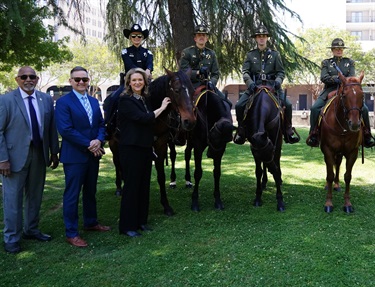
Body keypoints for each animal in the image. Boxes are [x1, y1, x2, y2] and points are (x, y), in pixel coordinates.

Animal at [104, 69, 197, 216]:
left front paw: (166, 205)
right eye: (176, 90)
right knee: (117, 162)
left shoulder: (161, 145)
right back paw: (119, 187)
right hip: (113, 143)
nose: (190, 121)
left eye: (193, 91)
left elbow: (161, 175)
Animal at [244, 84, 284, 213]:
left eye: (271, 150)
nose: (272, 168)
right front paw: (258, 197)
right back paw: (264, 182)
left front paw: (280, 200)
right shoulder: (255, 150)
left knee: (277, 160)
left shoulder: (276, 143)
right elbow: (258, 171)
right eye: (257, 154)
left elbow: (276, 165)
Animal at [318, 70, 366, 214]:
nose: (354, 124)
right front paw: (328, 203)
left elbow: (348, 176)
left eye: (363, 95)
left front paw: (347, 203)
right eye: (344, 95)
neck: (342, 126)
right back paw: (329, 185)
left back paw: (337, 184)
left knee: (338, 164)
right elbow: (329, 174)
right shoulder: (328, 150)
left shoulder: (353, 152)